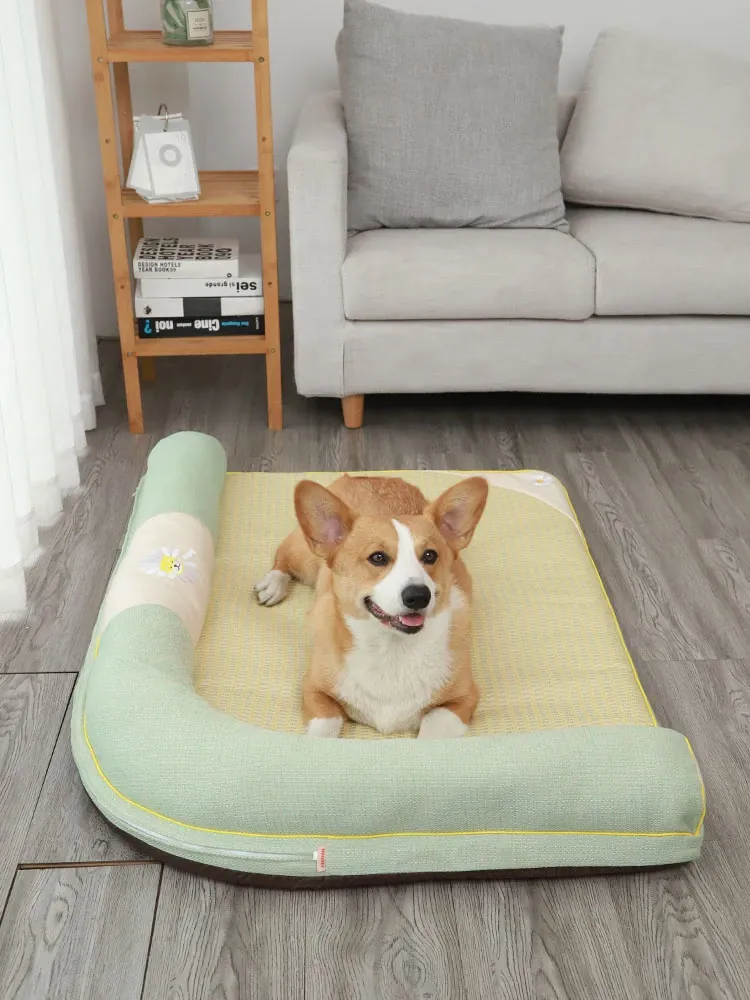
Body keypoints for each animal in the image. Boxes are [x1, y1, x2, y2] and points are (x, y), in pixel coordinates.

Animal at [255, 474, 488, 739]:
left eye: (430, 555)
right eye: (377, 557)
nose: (419, 596)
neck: (392, 648)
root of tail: (368, 476)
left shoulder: (461, 700)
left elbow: (432, 729)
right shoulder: (314, 690)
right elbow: (326, 726)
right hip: (304, 556)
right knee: (283, 557)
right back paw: (273, 584)